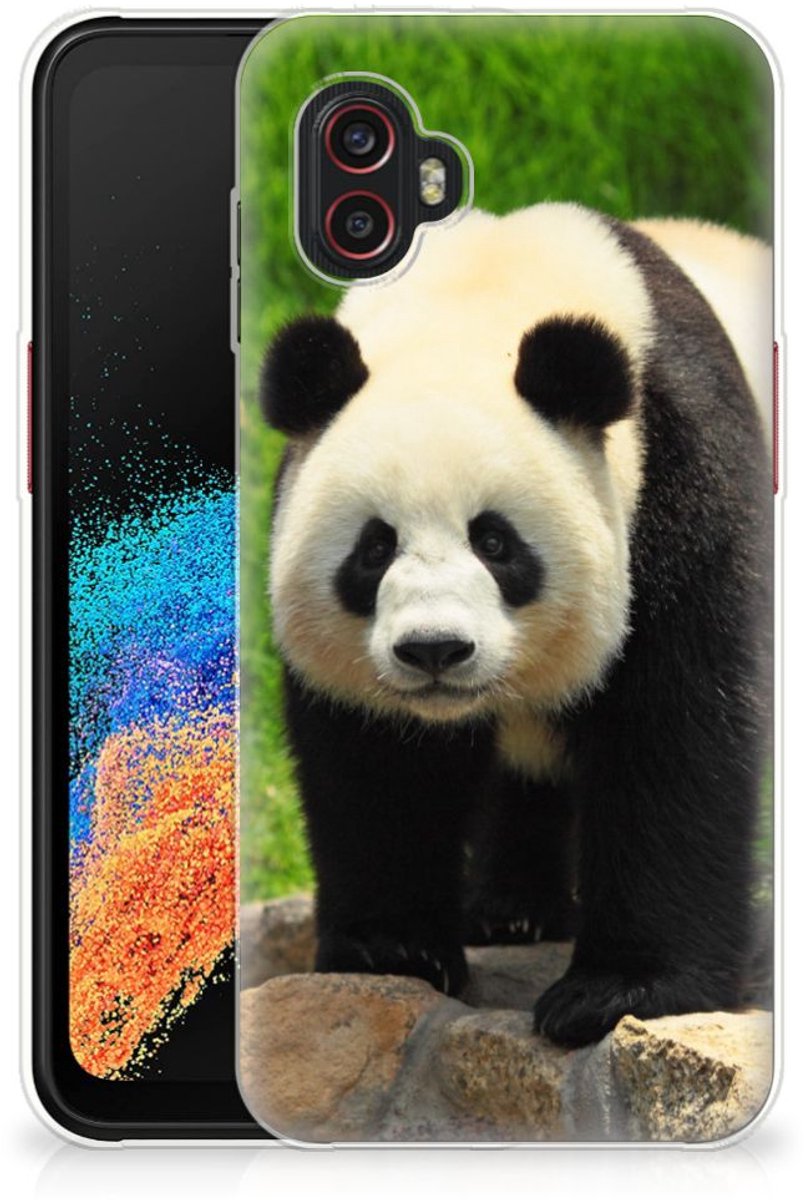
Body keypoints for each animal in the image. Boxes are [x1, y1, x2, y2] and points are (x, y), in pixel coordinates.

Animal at [259, 203, 772, 1048]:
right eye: (374, 548)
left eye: (495, 542)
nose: (434, 650)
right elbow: (378, 763)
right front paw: (393, 949)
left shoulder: (682, 478)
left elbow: (676, 731)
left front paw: (618, 991)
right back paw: (511, 911)